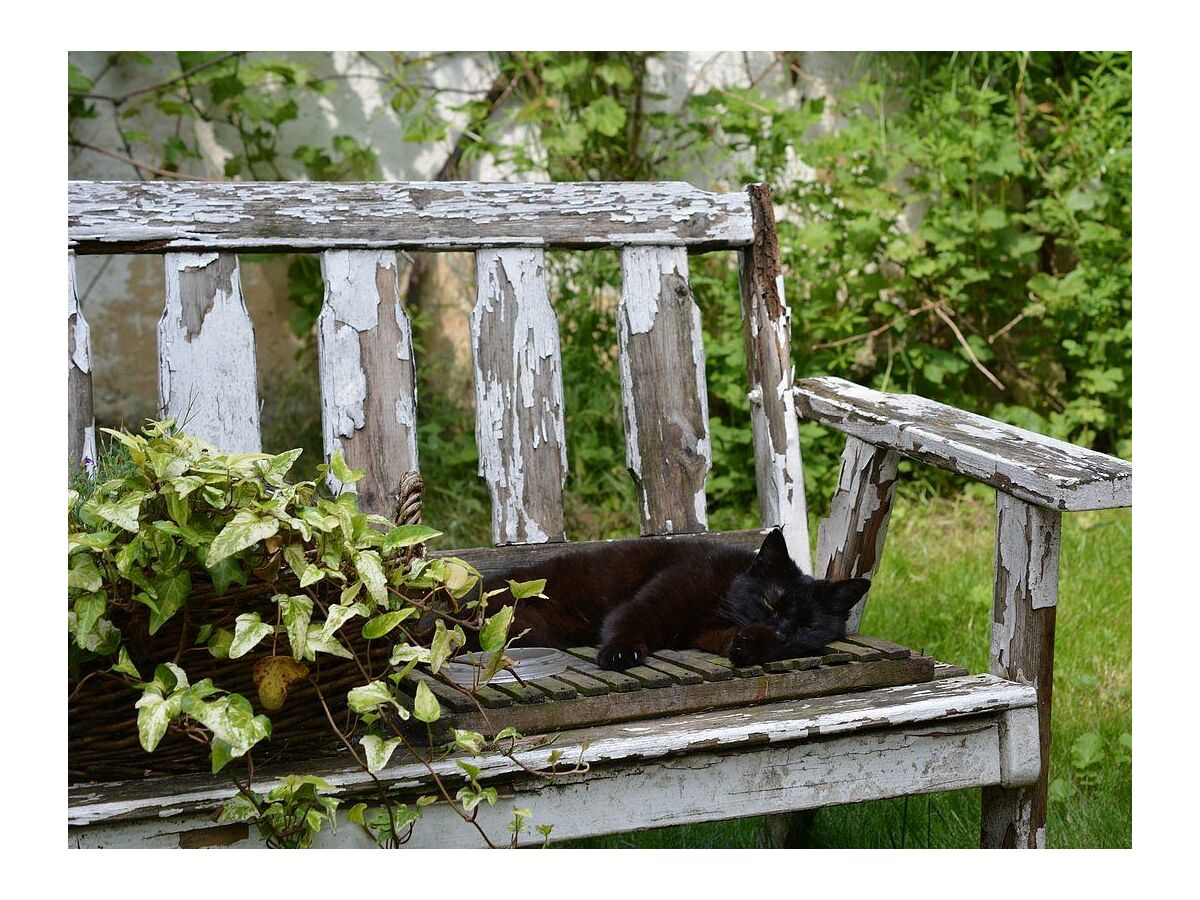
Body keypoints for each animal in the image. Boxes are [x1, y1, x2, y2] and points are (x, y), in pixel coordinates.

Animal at [477, 532, 873, 672]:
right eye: (771, 603)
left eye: (808, 625)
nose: (782, 630)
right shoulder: (653, 601)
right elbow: (629, 621)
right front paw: (620, 655)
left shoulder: (710, 634)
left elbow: (737, 640)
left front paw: (750, 645)